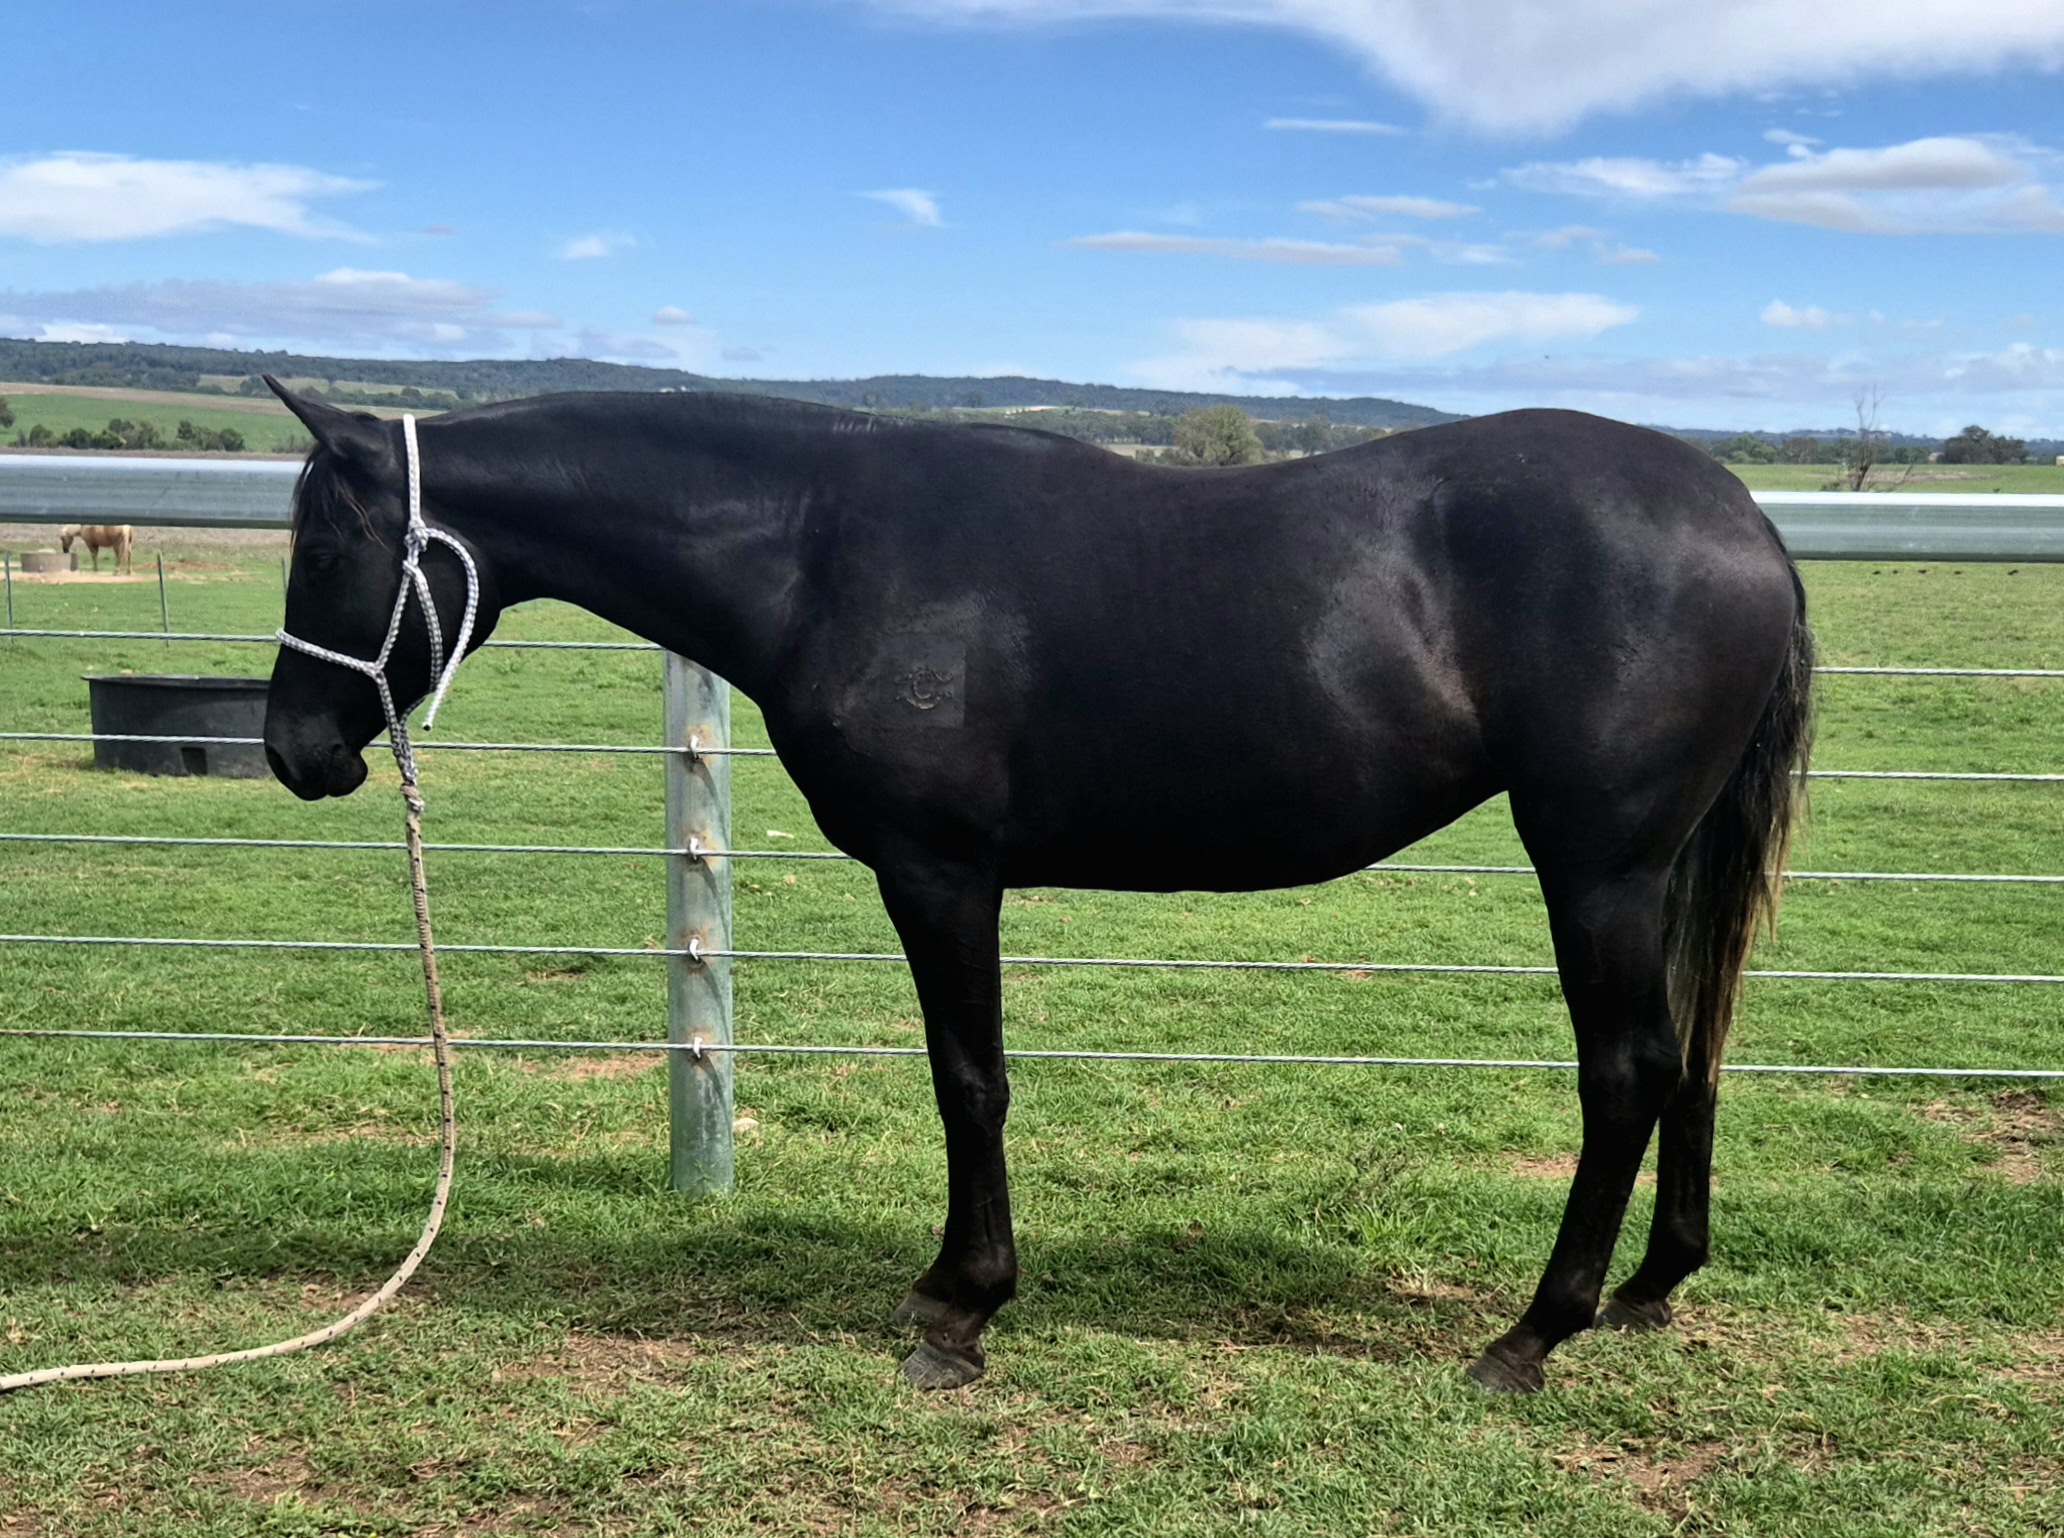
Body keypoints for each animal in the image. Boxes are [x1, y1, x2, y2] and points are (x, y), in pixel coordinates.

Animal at [259, 378, 1813, 1395]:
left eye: (328, 546)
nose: (293, 748)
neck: (821, 544)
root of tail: (1741, 516)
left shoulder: (940, 870)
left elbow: (970, 1079)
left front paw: (960, 1309)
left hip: (1598, 865)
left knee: (1627, 1069)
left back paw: (1531, 1334)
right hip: (1657, 866)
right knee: (1694, 1055)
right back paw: (1651, 1287)